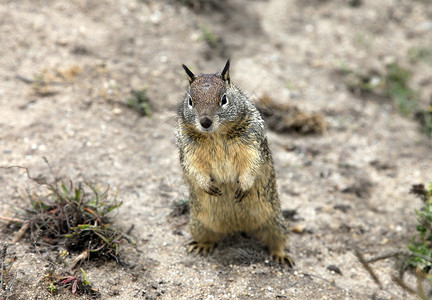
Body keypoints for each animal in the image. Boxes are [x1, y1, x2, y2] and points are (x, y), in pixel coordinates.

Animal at [176, 59, 294, 266]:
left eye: (223, 99)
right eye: (190, 101)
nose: (205, 122)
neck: (215, 135)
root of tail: (237, 226)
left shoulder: (252, 144)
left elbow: (252, 164)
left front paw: (244, 187)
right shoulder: (189, 151)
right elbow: (195, 168)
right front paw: (208, 186)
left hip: (275, 222)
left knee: (277, 240)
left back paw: (281, 255)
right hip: (198, 225)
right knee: (207, 237)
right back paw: (202, 246)